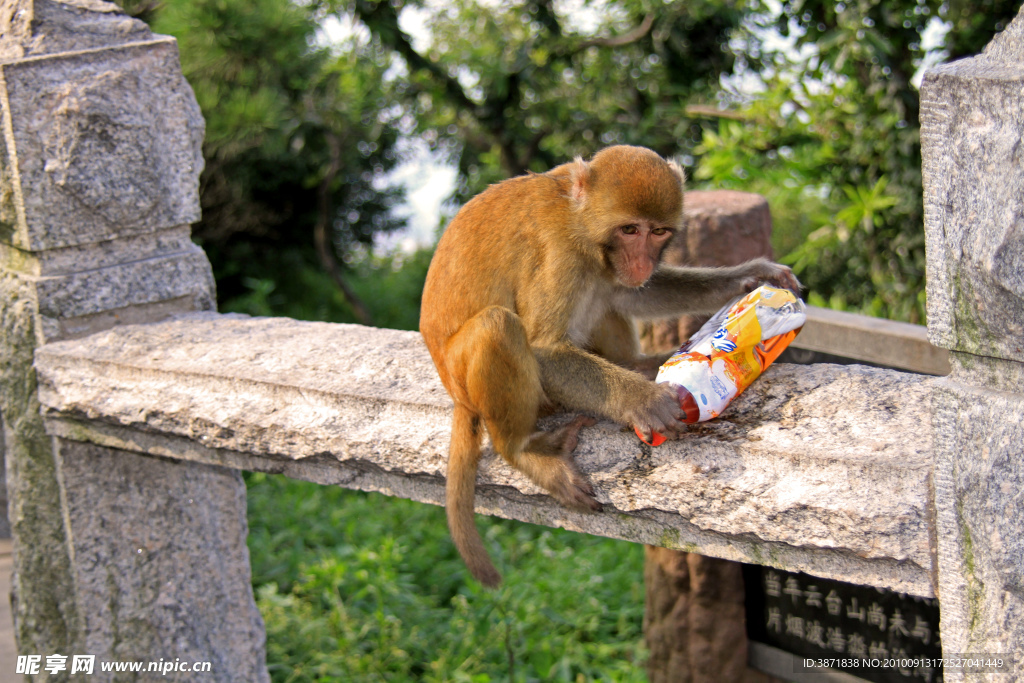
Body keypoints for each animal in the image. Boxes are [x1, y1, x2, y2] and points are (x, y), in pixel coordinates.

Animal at [417, 145, 798, 589]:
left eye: (658, 232)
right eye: (629, 230)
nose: (641, 260)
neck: (579, 219)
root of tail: (456, 395)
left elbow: (636, 293)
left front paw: (750, 276)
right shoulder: (560, 252)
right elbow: (544, 348)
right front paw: (647, 401)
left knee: (608, 291)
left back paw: (635, 363)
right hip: (478, 380)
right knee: (499, 325)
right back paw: (524, 450)